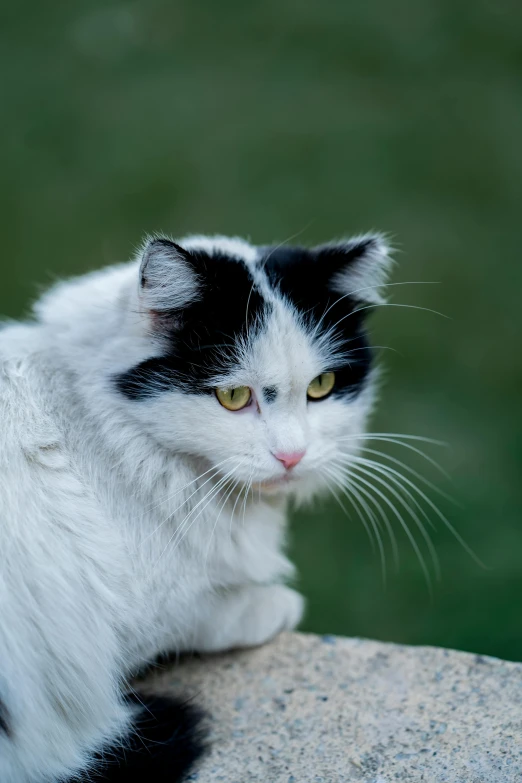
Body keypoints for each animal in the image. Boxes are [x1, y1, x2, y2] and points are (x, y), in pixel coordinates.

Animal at [0, 230, 390, 780]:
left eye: (321, 387)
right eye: (233, 396)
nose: (292, 455)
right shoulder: (104, 624)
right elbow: (205, 611)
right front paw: (275, 603)